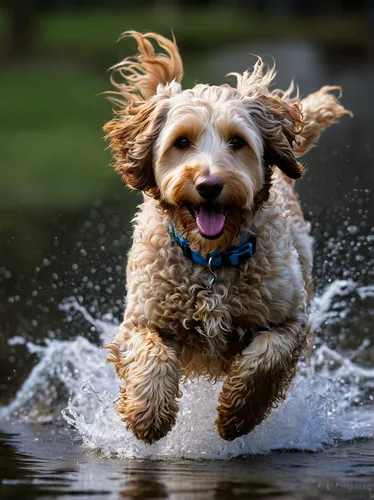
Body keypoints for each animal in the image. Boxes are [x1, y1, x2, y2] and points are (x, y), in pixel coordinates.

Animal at [104, 33, 350, 444]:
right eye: (181, 141)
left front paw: (236, 416)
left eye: (237, 141)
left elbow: (266, 358)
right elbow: (151, 355)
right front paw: (147, 416)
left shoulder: (290, 320)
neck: (211, 261)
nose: (209, 185)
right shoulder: (142, 320)